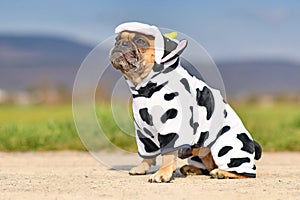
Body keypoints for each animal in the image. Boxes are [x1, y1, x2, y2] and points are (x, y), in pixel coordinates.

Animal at [109, 22, 262, 183]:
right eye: (116, 39)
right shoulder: (143, 131)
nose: (120, 44)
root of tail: (253, 144)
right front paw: (142, 168)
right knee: (207, 166)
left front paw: (163, 173)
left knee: (247, 172)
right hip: (200, 154)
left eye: (140, 41)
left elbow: (167, 156)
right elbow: (148, 154)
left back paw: (222, 172)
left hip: (225, 146)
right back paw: (192, 169)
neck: (145, 88)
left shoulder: (171, 126)